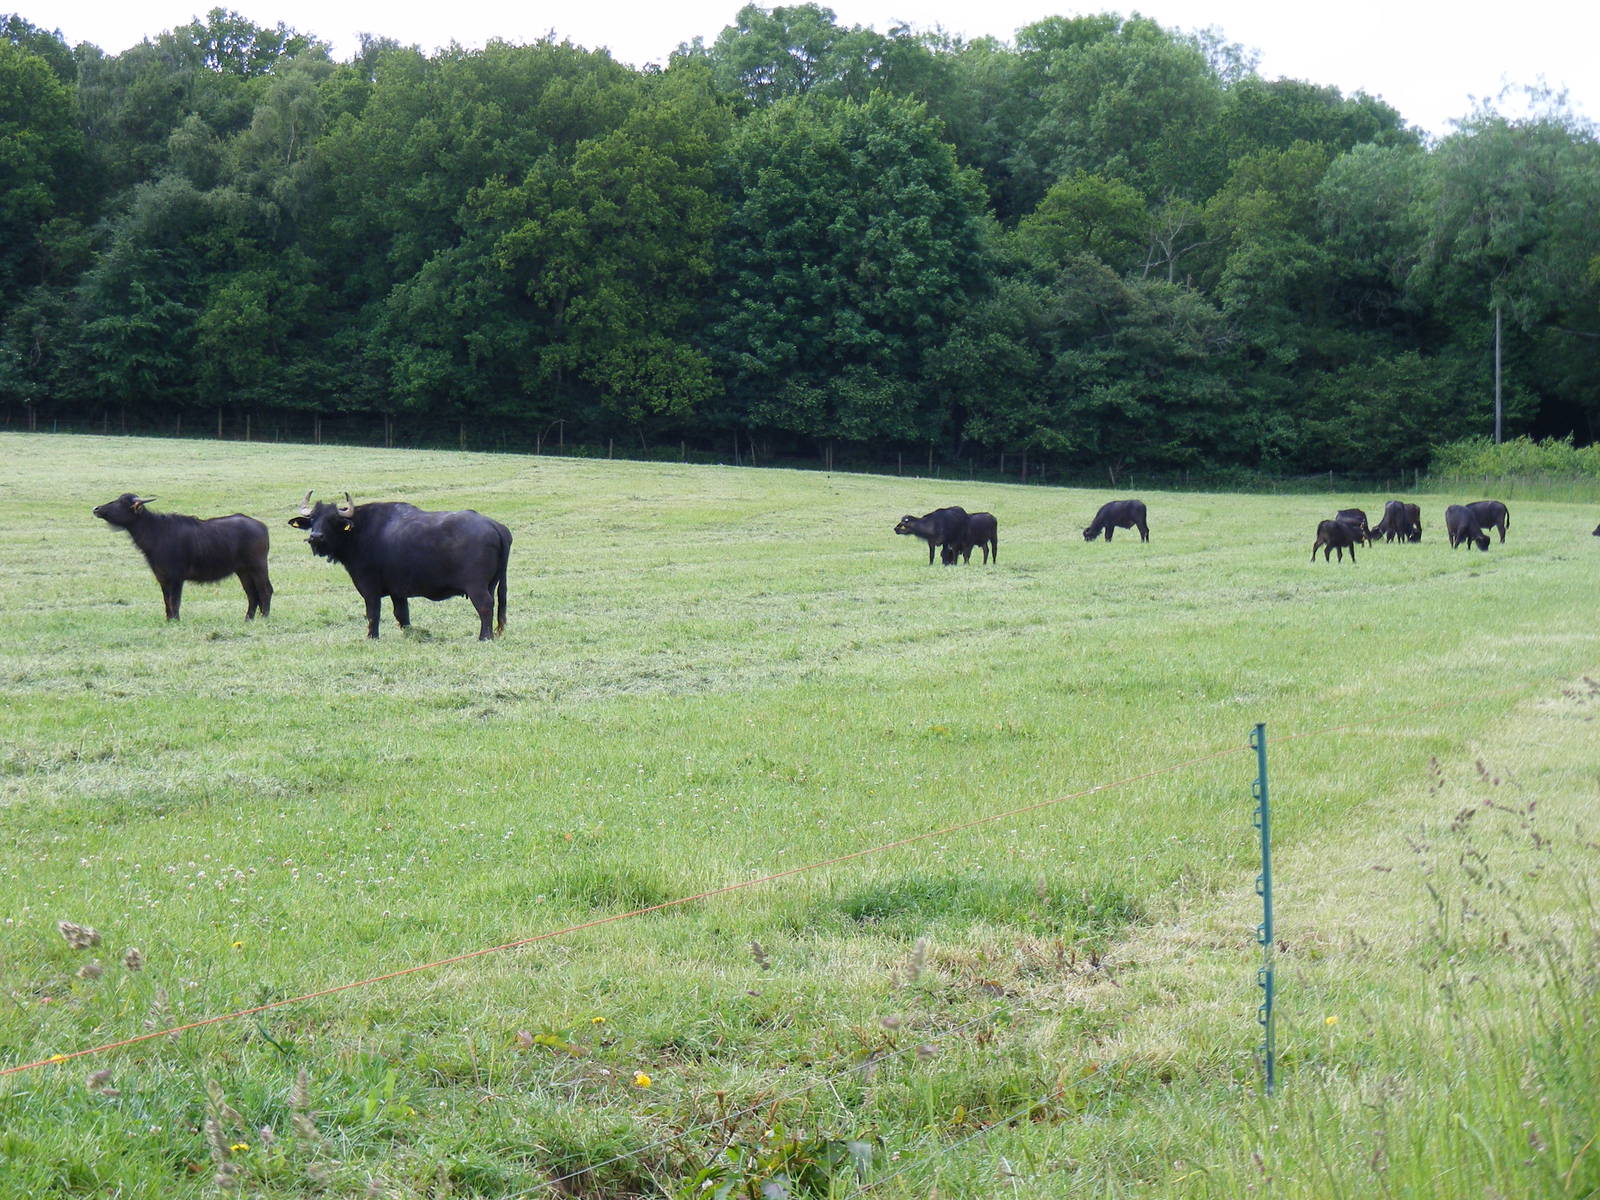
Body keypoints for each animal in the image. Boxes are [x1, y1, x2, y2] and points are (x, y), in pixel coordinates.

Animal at [93, 492, 272, 621]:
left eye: (121, 502)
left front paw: (176, 620)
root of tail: (261, 526)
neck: (156, 532)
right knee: (252, 594)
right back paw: (248, 619)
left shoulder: (176, 578)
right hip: (243, 571)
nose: (96, 509)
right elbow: (167, 601)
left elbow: (175, 601)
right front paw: (169, 620)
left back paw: (264, 617)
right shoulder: (163, 578)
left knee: (265, 590)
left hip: (258, 566)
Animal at [289, 492, 512, 639]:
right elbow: (402, 614)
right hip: (492, 584)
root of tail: (495, 526)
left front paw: (372, 636)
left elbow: (373, 613)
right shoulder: (398, 591)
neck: (360, 531)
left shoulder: (369, 588)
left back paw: (484, 637)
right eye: (313, 518)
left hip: (477, 587)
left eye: (333, 520)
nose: (315, 537)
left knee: (485, 606)